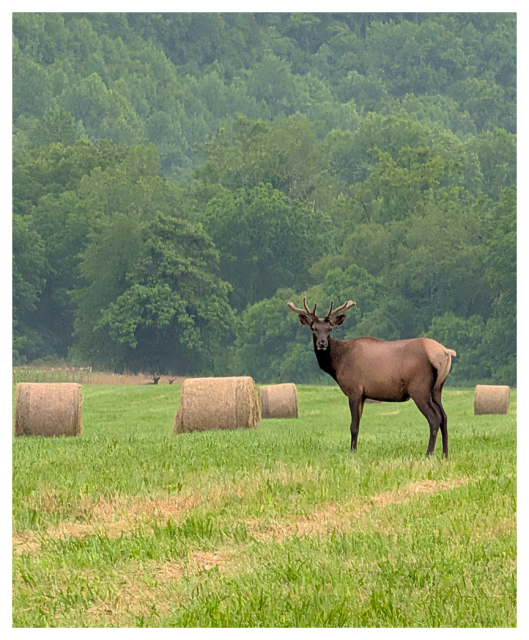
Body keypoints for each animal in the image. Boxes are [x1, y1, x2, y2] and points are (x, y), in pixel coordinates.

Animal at [287, 298, 457, 459]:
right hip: (437, 389)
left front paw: (352, 452)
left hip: (419, 388)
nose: (322, 343)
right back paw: (446, 454)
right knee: (444, 416)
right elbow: (358, 424)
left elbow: (354, 425)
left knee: (434, 418)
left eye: (329, 329)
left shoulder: (354, 389)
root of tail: (445, 352)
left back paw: (428, 454)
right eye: (313, 328)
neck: (338, 363)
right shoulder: (363, 395)